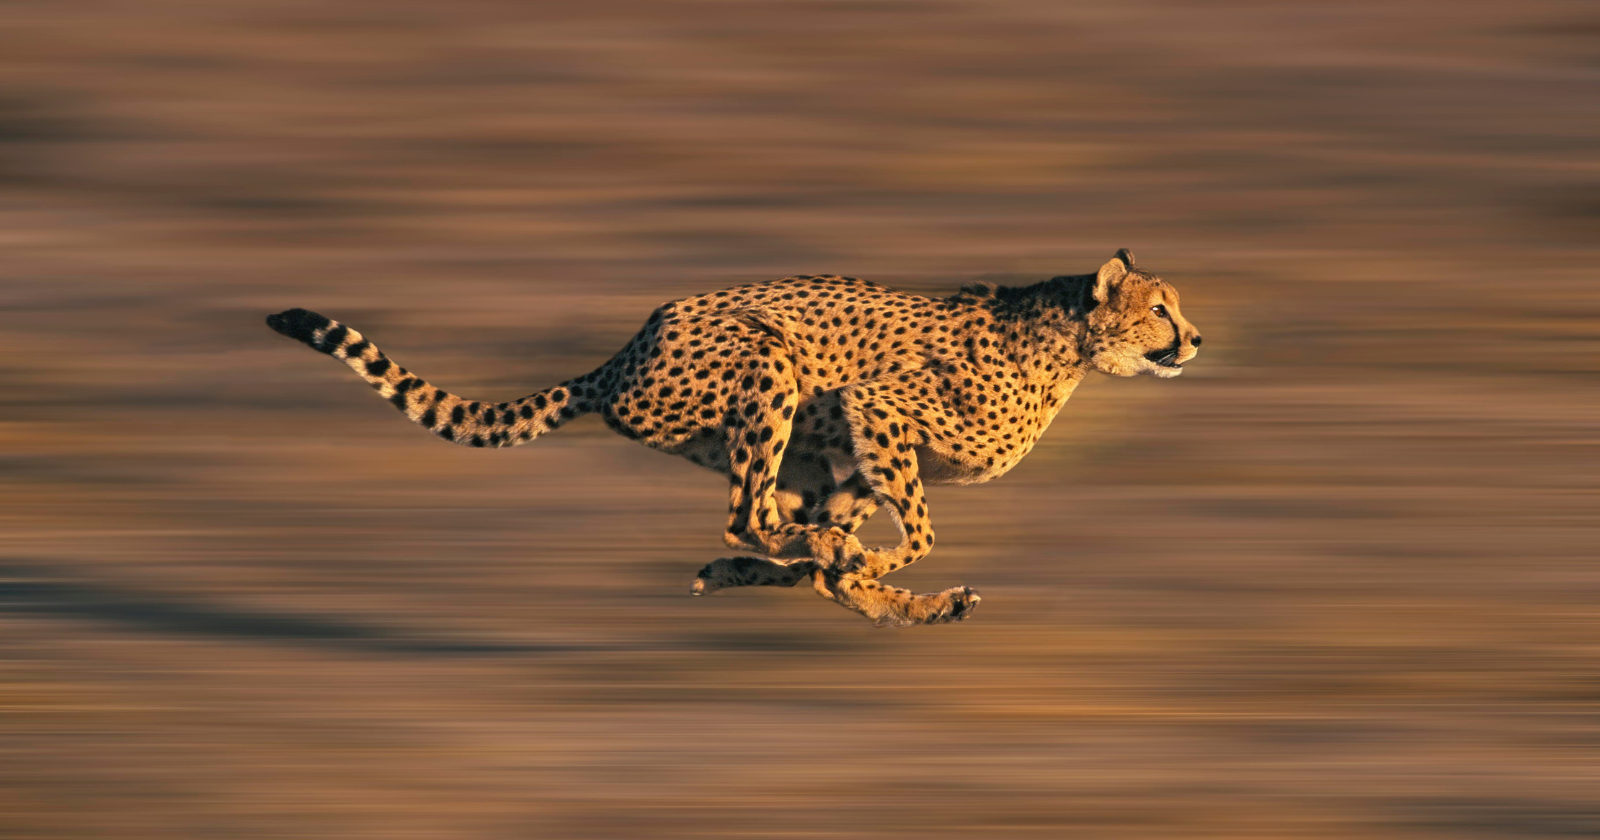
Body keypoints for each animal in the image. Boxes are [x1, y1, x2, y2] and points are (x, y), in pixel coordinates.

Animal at [266, 249, 1202, 627]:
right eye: (1160, 309)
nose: (1195, 340)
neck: (1071, 345)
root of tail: (628, 348)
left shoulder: (854, 447)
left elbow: (855, 554)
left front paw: (872, 578)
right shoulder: (875, 406)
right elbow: (919, 531)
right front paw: (872, 562)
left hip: (799, 442)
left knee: (774, 535)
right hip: (768, 363)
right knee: (750, 518)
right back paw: (813, 562)